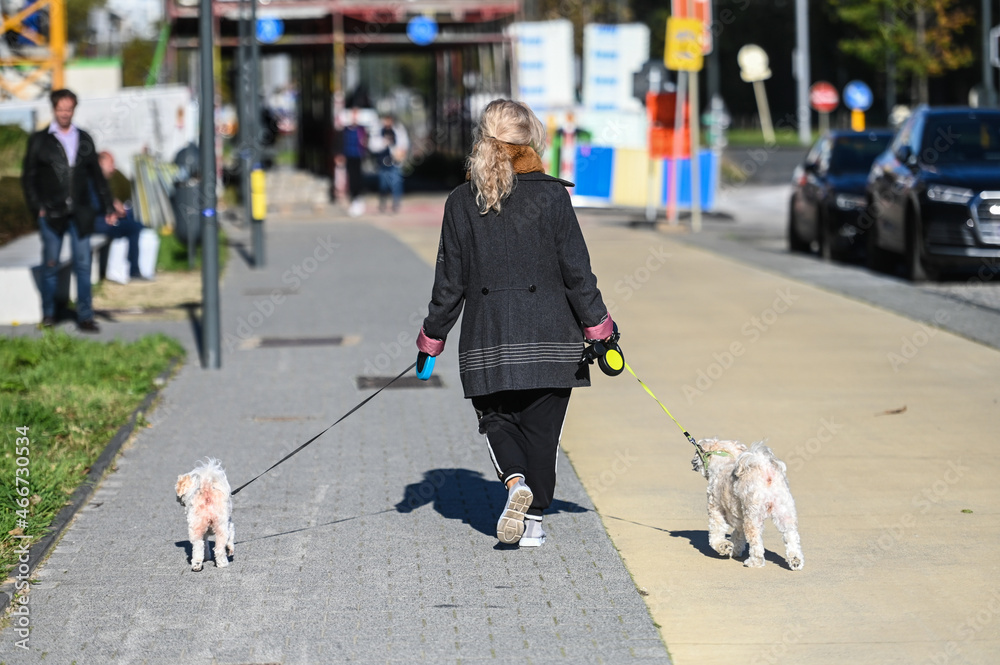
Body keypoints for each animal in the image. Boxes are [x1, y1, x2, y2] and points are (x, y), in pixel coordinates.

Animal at [692, 438, 808, 568]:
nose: (693, 461)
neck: (724, 462)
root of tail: (765, 470)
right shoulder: (739, 519)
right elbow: (738, 536)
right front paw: (735, 549)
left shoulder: (716, 509)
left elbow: (716, 532)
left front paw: (723, 546)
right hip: (784, 512)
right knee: (791, 536)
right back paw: (796, 560)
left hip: (752, 516)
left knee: (756, 542)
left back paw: (754, 562)